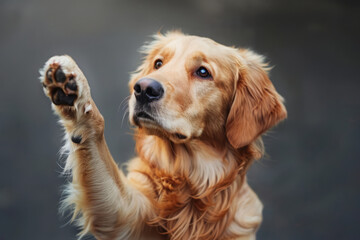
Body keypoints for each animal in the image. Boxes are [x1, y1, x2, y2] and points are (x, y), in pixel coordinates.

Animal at [39, 31, 286, 239]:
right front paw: (73, 90)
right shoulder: (124, 214)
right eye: (158, 63)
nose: (143, 89)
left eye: (203, 72)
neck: (192, 179)